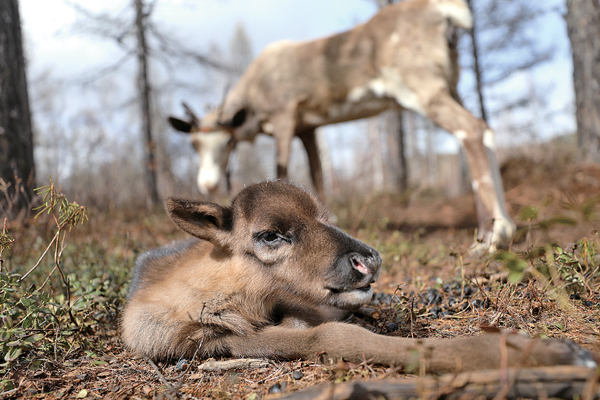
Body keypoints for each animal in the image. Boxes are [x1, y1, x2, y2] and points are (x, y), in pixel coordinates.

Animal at [122, 182, 596, 376]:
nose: (369, 260)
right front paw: (549, 352)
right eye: (269, 234)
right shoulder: (222, 338)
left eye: (325, 216)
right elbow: (332, 337)